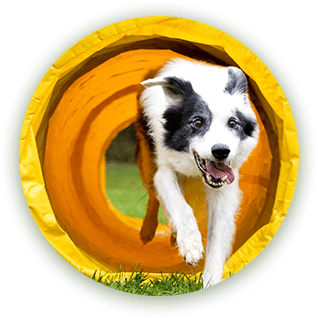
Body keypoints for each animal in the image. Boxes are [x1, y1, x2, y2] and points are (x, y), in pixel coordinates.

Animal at [135, 57, 260, 288]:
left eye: (233, 123)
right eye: (197, 122)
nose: (221, 151)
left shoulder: (224, 189)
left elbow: (218, 232)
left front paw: (210, 280)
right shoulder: (164, 169)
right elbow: (180, 206)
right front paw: (191, 245)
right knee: (153, 197)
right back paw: (148, 231)